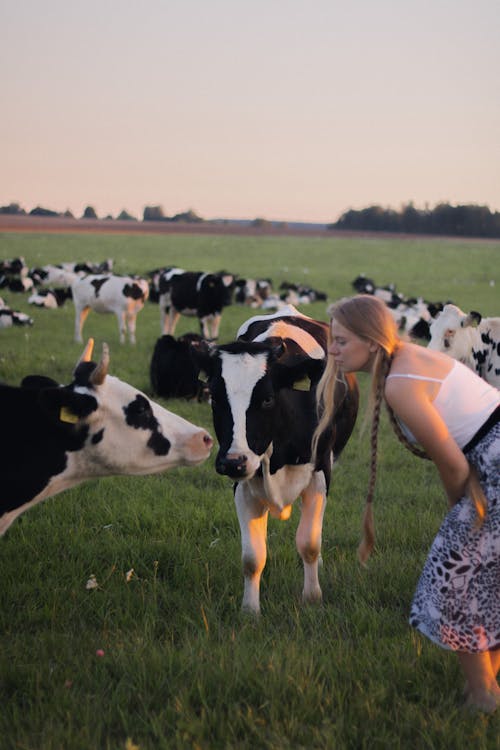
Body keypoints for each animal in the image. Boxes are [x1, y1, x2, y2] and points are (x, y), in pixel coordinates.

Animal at [192, 306, 360, 616]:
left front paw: (312, 597)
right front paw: (250, 611)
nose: (232, 462)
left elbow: (309, 543)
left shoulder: (320, 473)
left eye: (268, 399)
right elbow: (252, 557)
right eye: (215, 398)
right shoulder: (244, 484)